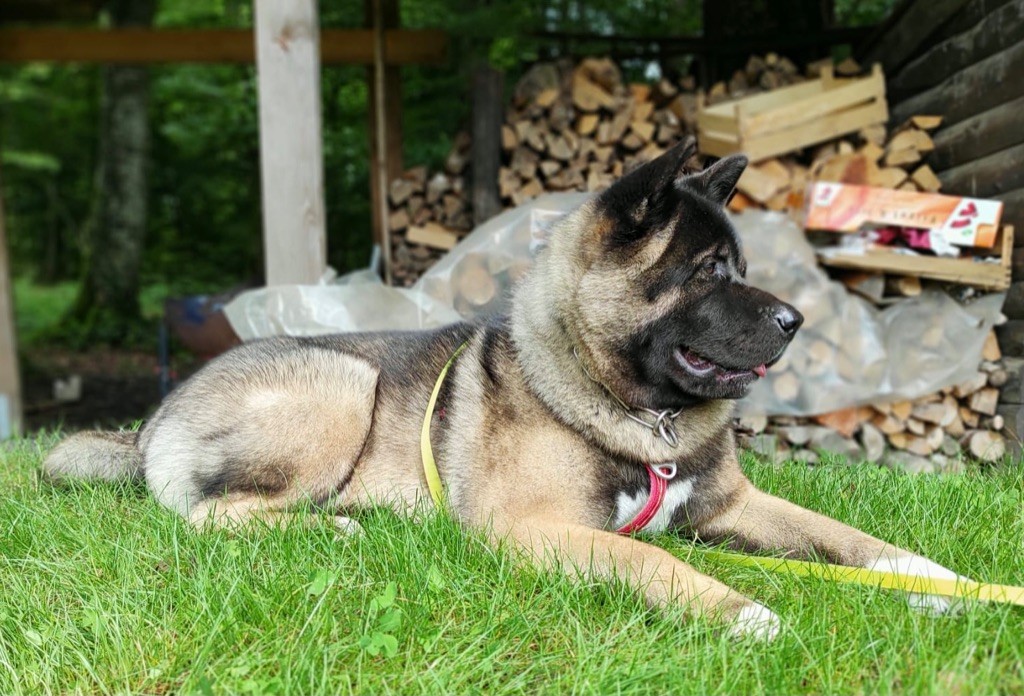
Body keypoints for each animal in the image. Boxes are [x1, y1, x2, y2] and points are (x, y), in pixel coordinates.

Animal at [44, 138, 962, 639]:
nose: (796, 321)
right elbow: (655, 560)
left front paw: (937, 580)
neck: (636, 415)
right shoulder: (539, 531)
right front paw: (741, 611)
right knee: (211, 515)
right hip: (345, 383)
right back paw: (338, 527)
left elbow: (845, 536)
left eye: (741, 266)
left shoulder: (736, 506)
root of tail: (150, 424)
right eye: (707, 271)